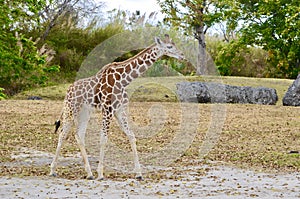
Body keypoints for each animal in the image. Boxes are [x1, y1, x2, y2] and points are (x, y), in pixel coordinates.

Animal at [49, 33, 185, 180]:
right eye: (169, 46)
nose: (182, 55)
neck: (123, 80)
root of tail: (68, 90)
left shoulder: (120, 110)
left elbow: (131, 136)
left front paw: (139, 174)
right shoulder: (107, 109)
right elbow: (103, 139)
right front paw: (101, 174)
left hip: (85, 112)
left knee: (79, 134)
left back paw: (89, 173)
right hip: (71, 109)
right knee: (63, 134)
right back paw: (53, 170)